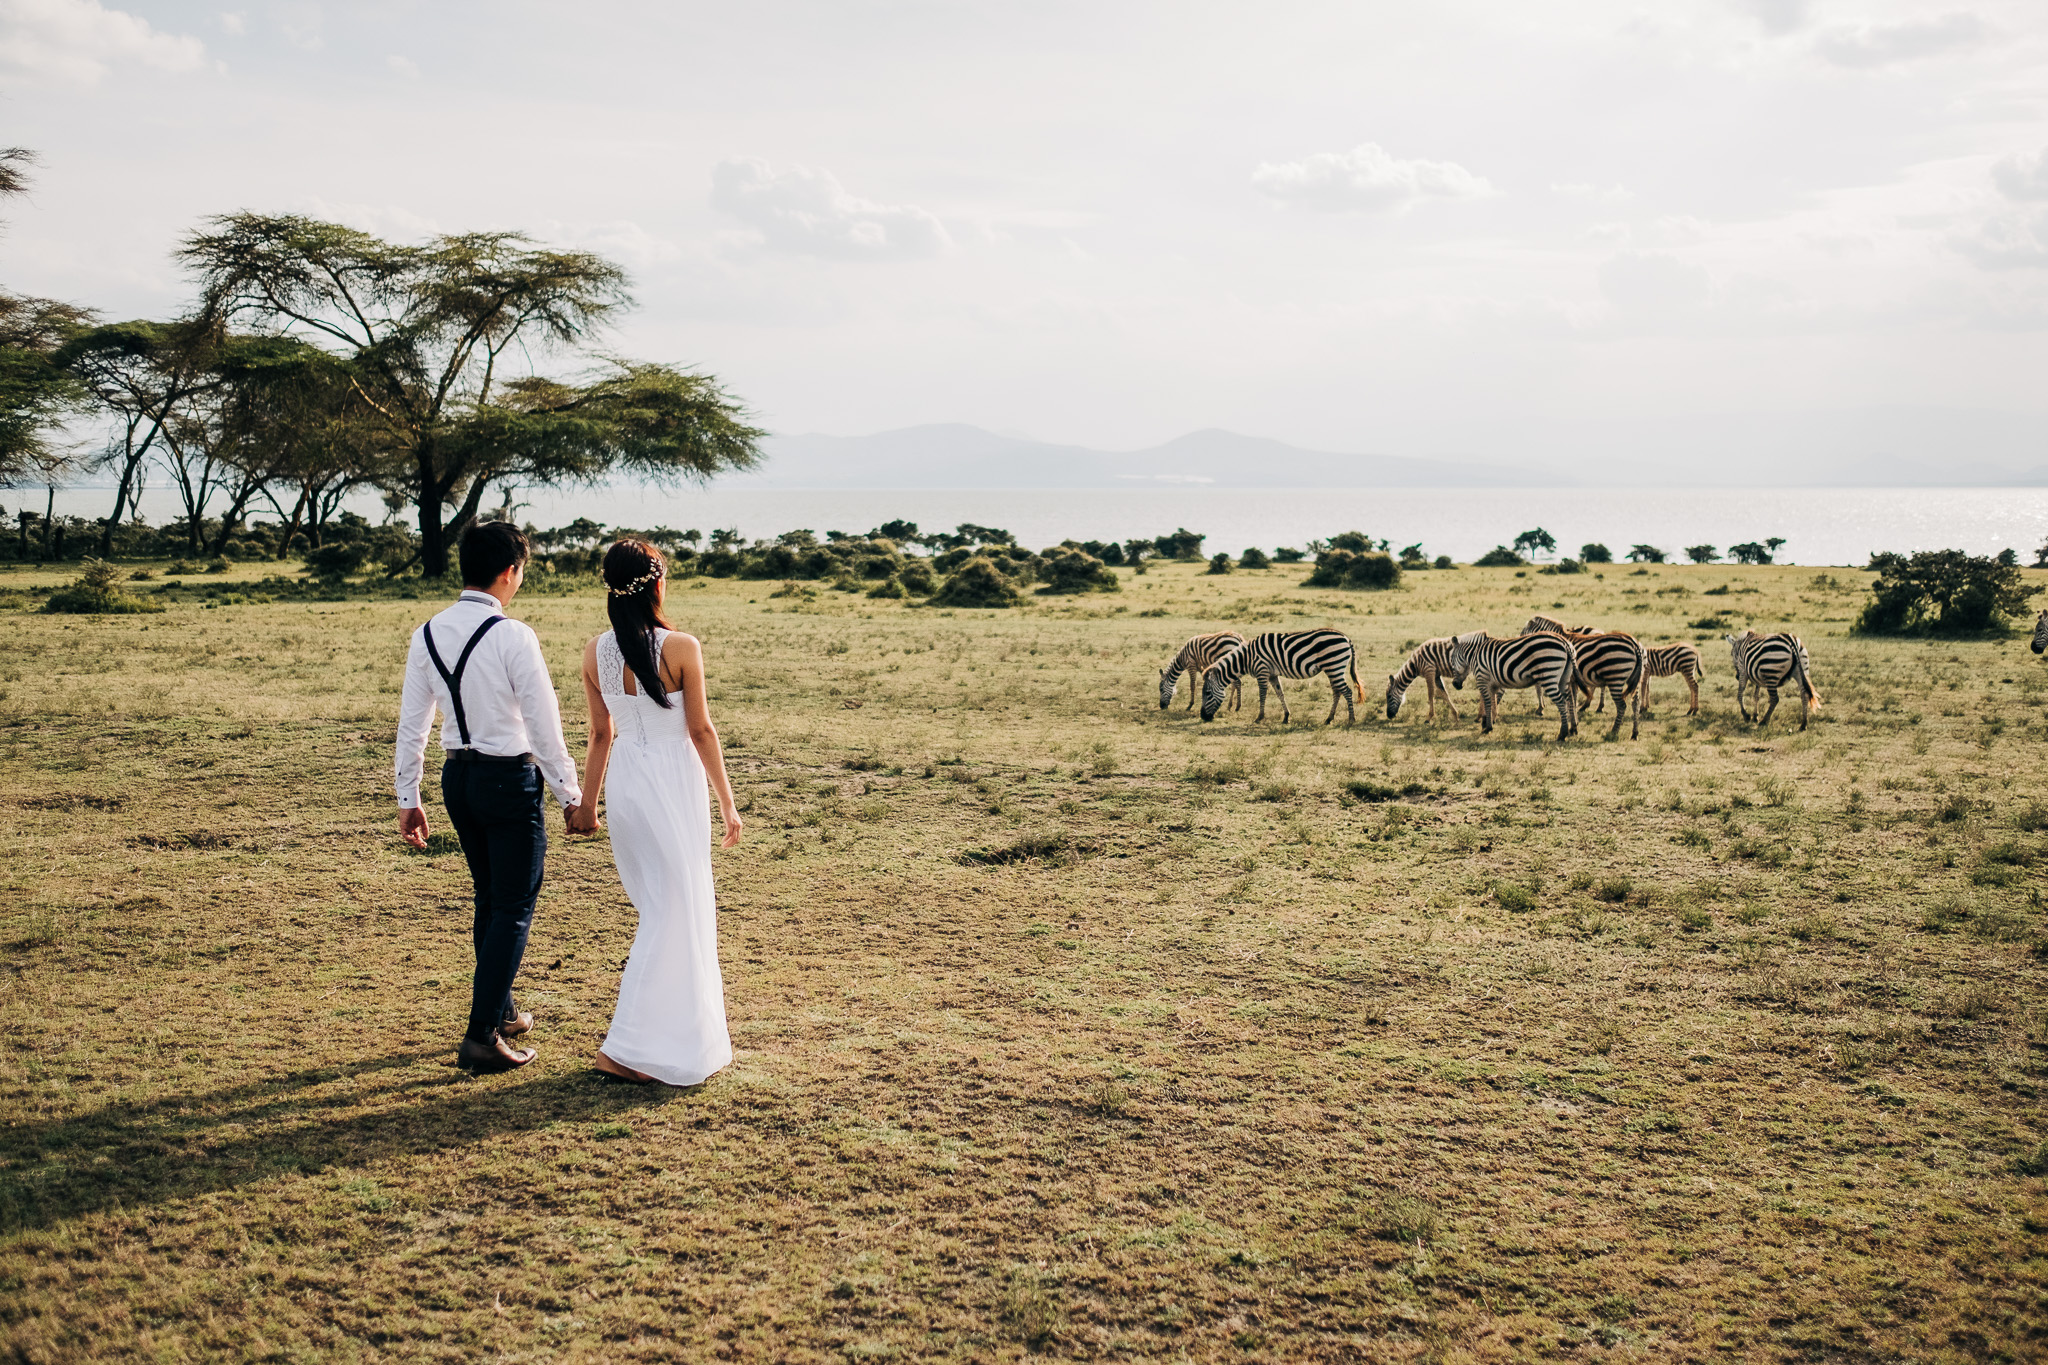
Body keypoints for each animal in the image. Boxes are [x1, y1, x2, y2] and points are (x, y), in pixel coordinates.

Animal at [1196, 630, 1359, 724]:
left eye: (1207, 693)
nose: (1203, 717)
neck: (1246, 658)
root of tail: (1346, 637)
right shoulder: (1273, 675)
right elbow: (1280, 693)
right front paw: (1286, 717)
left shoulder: (1262, 671)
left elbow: (1262, 694)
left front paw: (1259, 717)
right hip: (1332, 669)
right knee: (1337, 692)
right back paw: (1329, 719)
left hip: (1334, 665)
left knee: (1347, 691)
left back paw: (1351, 719)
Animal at [1441, 634, 1581, 740]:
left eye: (1451, 660)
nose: (1455, 684)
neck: (1473, 656)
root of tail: (1565, 643)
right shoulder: (1493, 684)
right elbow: (1493, 702)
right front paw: (1488, 723)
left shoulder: (1482, 679)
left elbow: (1487, 702)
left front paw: (1487, 727)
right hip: (1564, 677)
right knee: (1570, 699)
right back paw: (1573, 728)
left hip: (1548, 674)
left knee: (1561, 702)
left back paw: (1562, 734)